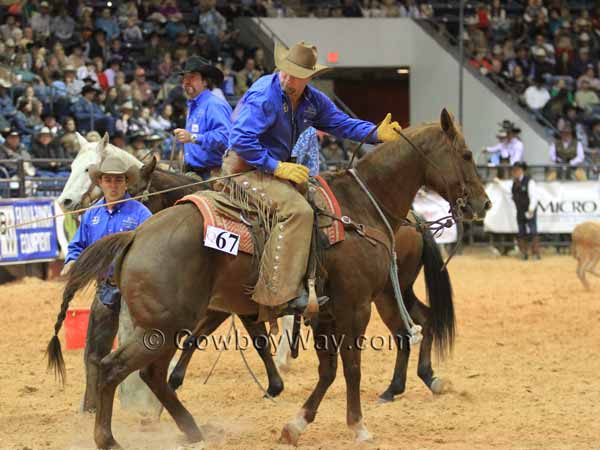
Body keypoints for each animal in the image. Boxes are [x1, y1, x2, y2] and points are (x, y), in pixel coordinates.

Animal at [47, 110, 488, 450]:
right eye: (467, 154)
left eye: (89, 170)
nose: (483, 203)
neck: (360, 207)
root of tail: (136, 235)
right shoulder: (352, 307)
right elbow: (348, 367)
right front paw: (356, 426)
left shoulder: (325, 311)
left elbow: (328, 369)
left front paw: (295, 422)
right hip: (165, 326)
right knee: (118, 368)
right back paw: (113, 438)